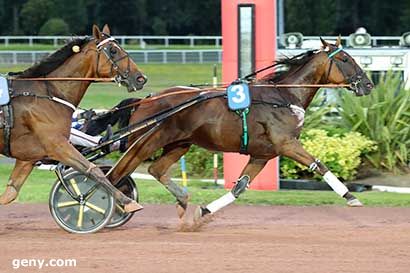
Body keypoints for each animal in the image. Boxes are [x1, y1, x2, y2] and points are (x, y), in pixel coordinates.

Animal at [0, 24, 147, 211]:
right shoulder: (57, 145)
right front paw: (127, 202)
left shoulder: (28, 158)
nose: (140, 78)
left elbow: (9, 194)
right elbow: (92, 169)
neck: (48, 93)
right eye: (113, 50)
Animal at [104, 37, 374, 217]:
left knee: (156, 169)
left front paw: (203, 212)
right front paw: (351, 197)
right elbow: (319, 164)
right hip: (150, 140)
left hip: (179, 144)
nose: (368, 84)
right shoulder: (286, 143)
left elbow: (240, 187)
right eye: (345, 59)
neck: (283, 97)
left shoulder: (262, 154)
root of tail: (145, 100)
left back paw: (181, 199)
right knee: (118, 171)